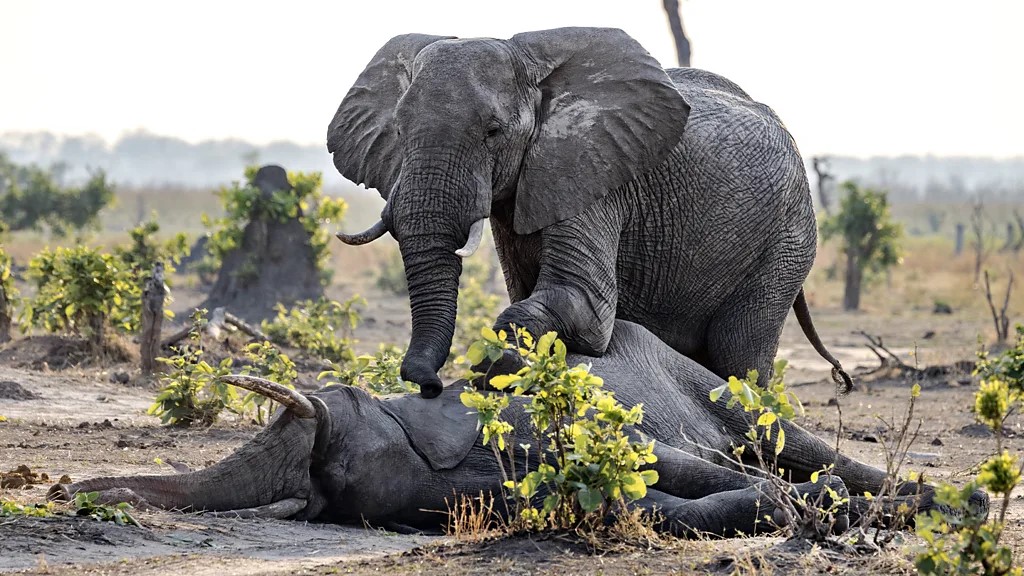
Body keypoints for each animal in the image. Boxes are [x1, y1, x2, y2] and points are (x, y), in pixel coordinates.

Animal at [327, 25, 847, 393]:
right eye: (398, 130)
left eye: (493, 132)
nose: (430, 385)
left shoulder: (595, 174)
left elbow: (582, 307)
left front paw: (497, 362)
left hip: (788, 239)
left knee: (739, 355)